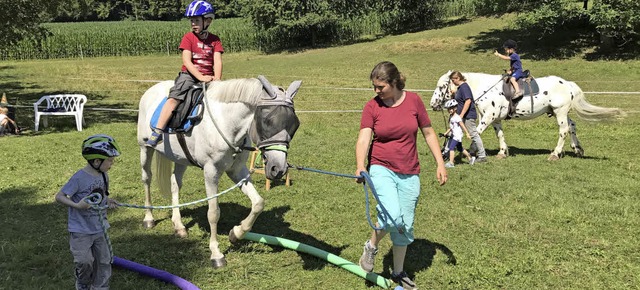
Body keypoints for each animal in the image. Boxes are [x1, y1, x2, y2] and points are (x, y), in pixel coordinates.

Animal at [136, 76, 302, 268]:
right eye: (267, 121)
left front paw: (236, 233)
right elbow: (214, 213)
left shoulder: (237, 171)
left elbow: (258, 203)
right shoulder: (211, 172)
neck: (227, 122)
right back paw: (149, 218)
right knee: (147, 179)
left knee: (175, 184)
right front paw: (216, 254)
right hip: (145, 149)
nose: (278, 168)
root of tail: (152, 89)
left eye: (295, 125)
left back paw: (179, 226)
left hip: (180, 158)